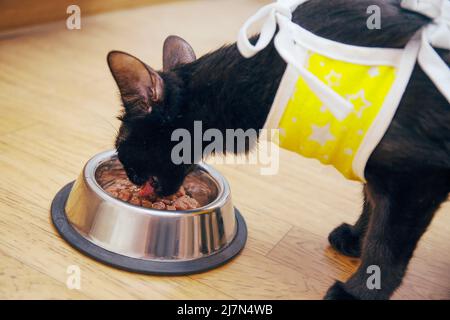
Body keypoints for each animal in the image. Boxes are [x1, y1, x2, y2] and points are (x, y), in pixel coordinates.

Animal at [108, 0, 450, 300]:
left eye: (122, 147)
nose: (130, 175)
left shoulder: (415, 179)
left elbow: (385, 249)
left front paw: (359, 292)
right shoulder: (369, 163)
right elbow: (370, 207)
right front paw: (355, 238)